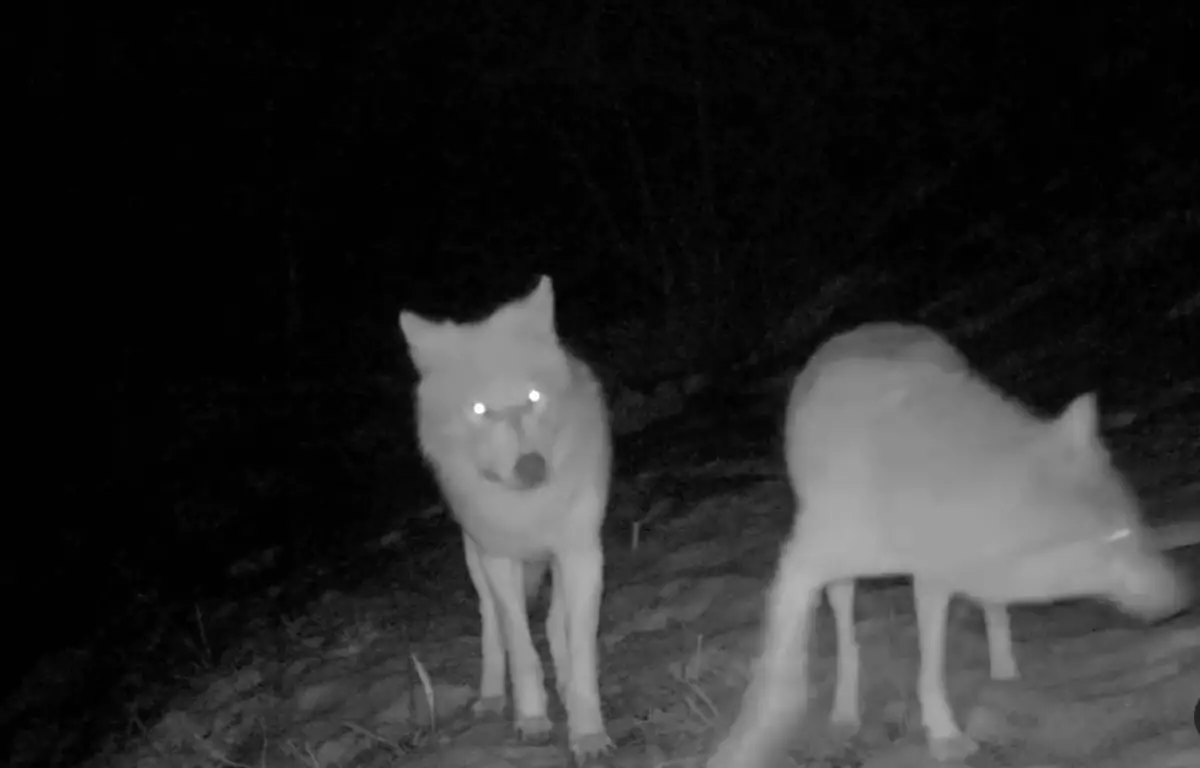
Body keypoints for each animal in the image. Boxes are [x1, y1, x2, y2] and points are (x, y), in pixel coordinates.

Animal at [400, 276, 614, 763]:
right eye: (480, 410)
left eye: (533, 399)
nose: (532, 467)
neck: (527, 509)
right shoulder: (499, 559)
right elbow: (520, 647)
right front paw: (532, 718)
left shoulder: (581, 553)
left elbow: (579, 648)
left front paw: (587, 732)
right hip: (476, 559)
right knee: (492, 626)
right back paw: (494, 696)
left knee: (554, 624)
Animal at [705, 321, 1185, 768]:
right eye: (1113, 539)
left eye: (1135, 526)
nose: (1184, 598)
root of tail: (872, 325)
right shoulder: (802, 566)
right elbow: (779, 680)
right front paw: (744, 748)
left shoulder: (935, 575)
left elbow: (931, 667)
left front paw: (944, 734)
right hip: (839, 577)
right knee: (846, 635)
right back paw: (844, 712)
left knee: (992, 610)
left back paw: (1004, 671)